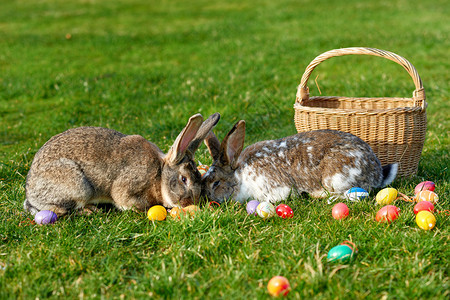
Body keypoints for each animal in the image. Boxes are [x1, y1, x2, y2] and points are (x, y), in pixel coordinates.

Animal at [25, 113, 221, 216]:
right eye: (183, 179)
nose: (191, 202)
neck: (159, 175)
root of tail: (30, 191)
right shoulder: (128, 187)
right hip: (78, 186)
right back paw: (90, 210)